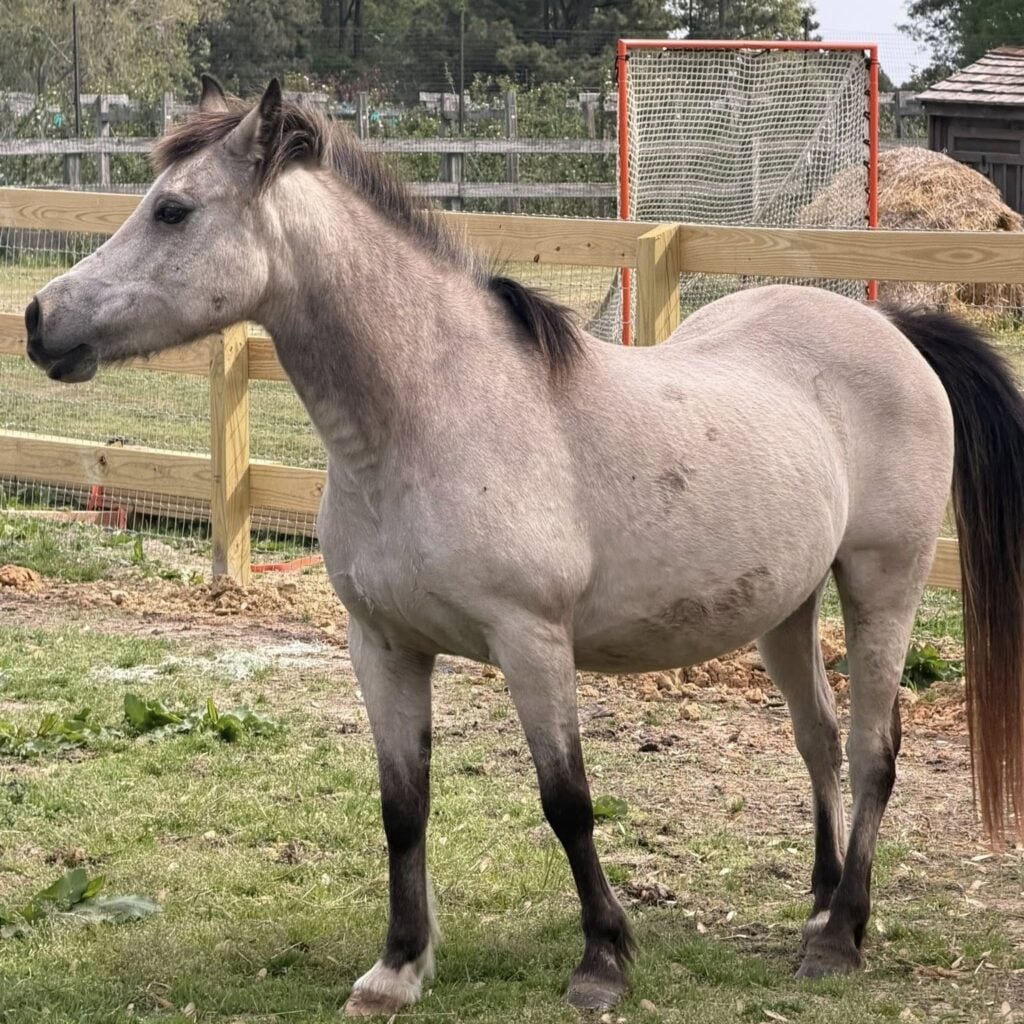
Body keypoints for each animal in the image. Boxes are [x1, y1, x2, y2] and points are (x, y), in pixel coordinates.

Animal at [24, 77, 1024, 1015]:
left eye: (174, 209)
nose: (38, 318)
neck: (432, 417)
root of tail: (892, 329)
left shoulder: (532, 643)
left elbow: (567, 801)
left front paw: (603, 960)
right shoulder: (382, 647)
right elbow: (403, 806)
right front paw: (398, 967)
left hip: (883, 584)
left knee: (871, 748)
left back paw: (841, 936)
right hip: (787, 604)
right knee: (817, 740)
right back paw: (818, 906)